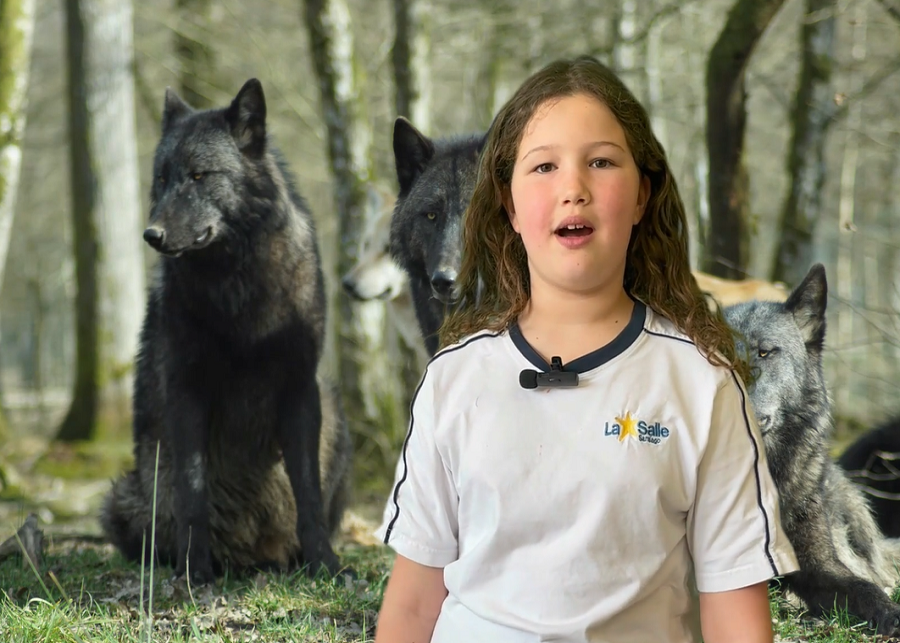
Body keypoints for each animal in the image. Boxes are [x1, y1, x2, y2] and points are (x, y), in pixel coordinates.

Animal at [100, 79, 353, 585]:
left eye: (200, 175)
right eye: (161, 178)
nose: (151, 235)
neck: (237, 285)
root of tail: (251, 557)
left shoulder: (300, 389)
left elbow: (308, 494)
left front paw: (325, 564)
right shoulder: (186, 392)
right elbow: (193, 491)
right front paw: (194, 572)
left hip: (335, 411)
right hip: (125, 495)